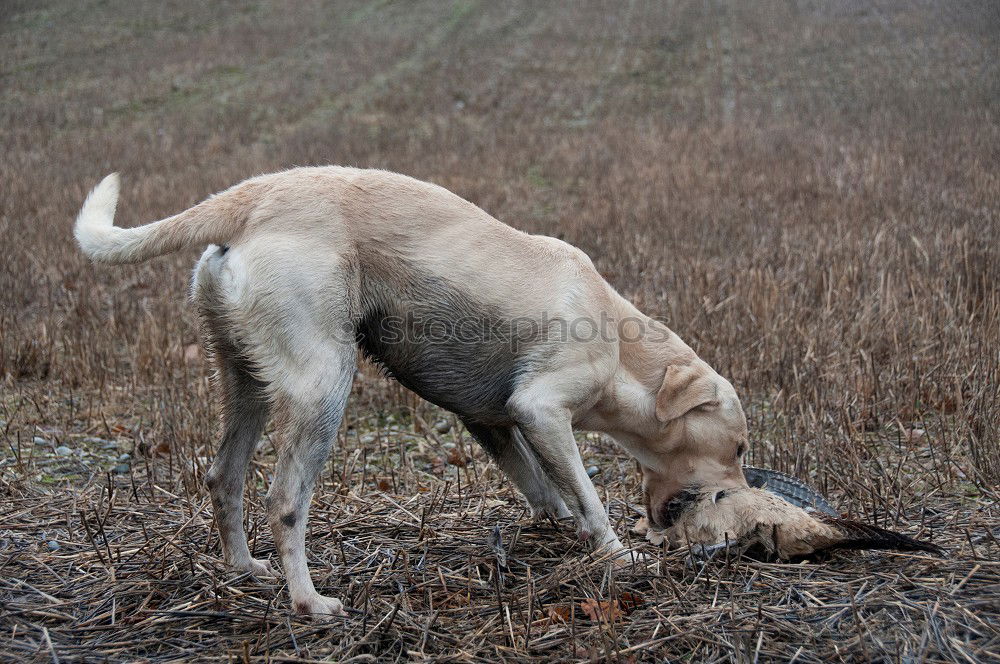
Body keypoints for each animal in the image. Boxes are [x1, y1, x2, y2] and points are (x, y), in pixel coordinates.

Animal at [74, 166, 752, 616]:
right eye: (741, 449)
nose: (744, 492)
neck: (619, 341)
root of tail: (253, 198)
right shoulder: (539, 410)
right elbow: (586, 494)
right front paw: (615, 553)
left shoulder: (492, 421)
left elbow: (545, 488)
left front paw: (563, 529)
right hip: (323, 387)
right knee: (285, 500)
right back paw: (310, 602)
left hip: (248, 385)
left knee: (224, 478)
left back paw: (246, 570)